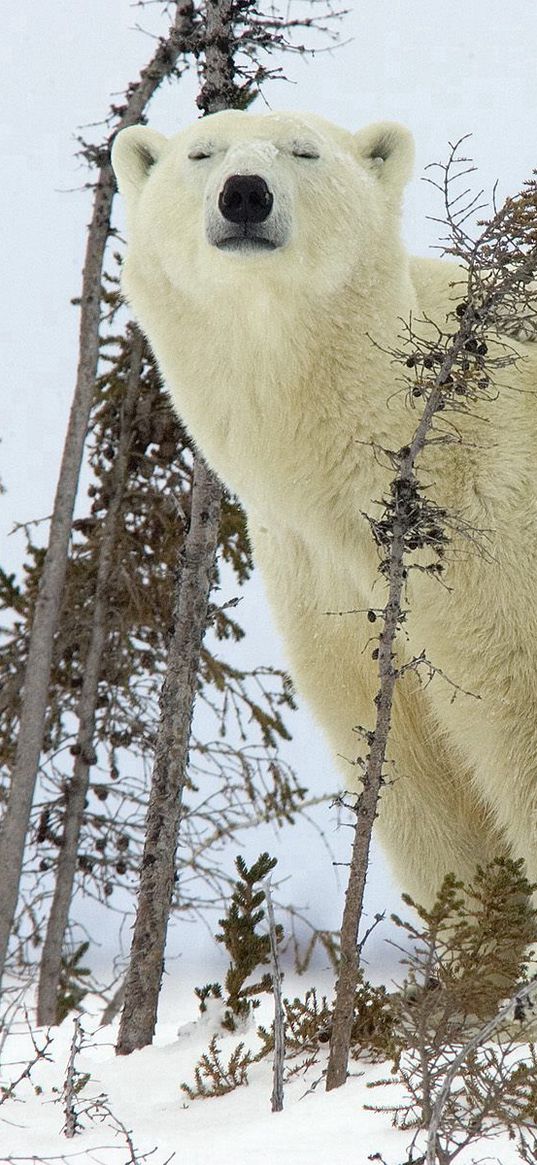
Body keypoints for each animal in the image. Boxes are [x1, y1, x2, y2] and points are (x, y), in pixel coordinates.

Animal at [111, 109, 535, 908]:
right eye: (200, 153)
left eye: (303, 151)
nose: (245, 194)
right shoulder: (327, 587)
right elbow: (423, 798)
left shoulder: (496, 541)